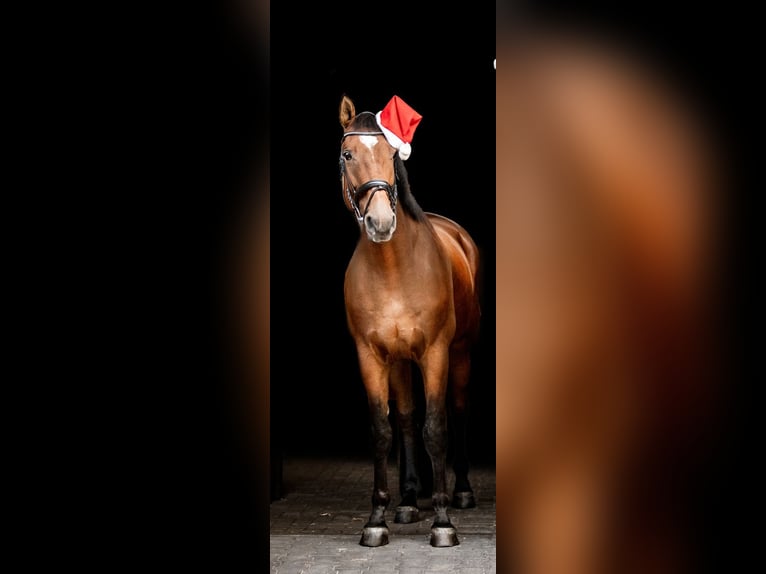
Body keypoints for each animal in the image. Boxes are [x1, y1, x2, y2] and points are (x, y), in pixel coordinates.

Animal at [338, 95, 481, 548]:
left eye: (391, 156)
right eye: (348, 154)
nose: (381, 223)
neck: (393, 268)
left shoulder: (436, 353)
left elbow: (435, 427)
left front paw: (443, 523)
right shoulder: (370, 356)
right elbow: (384, 429)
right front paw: (377, 519)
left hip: (460, 353)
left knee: (457, 410)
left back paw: (461, 493)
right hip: (400, 361)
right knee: (404, 419)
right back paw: (407, 501)